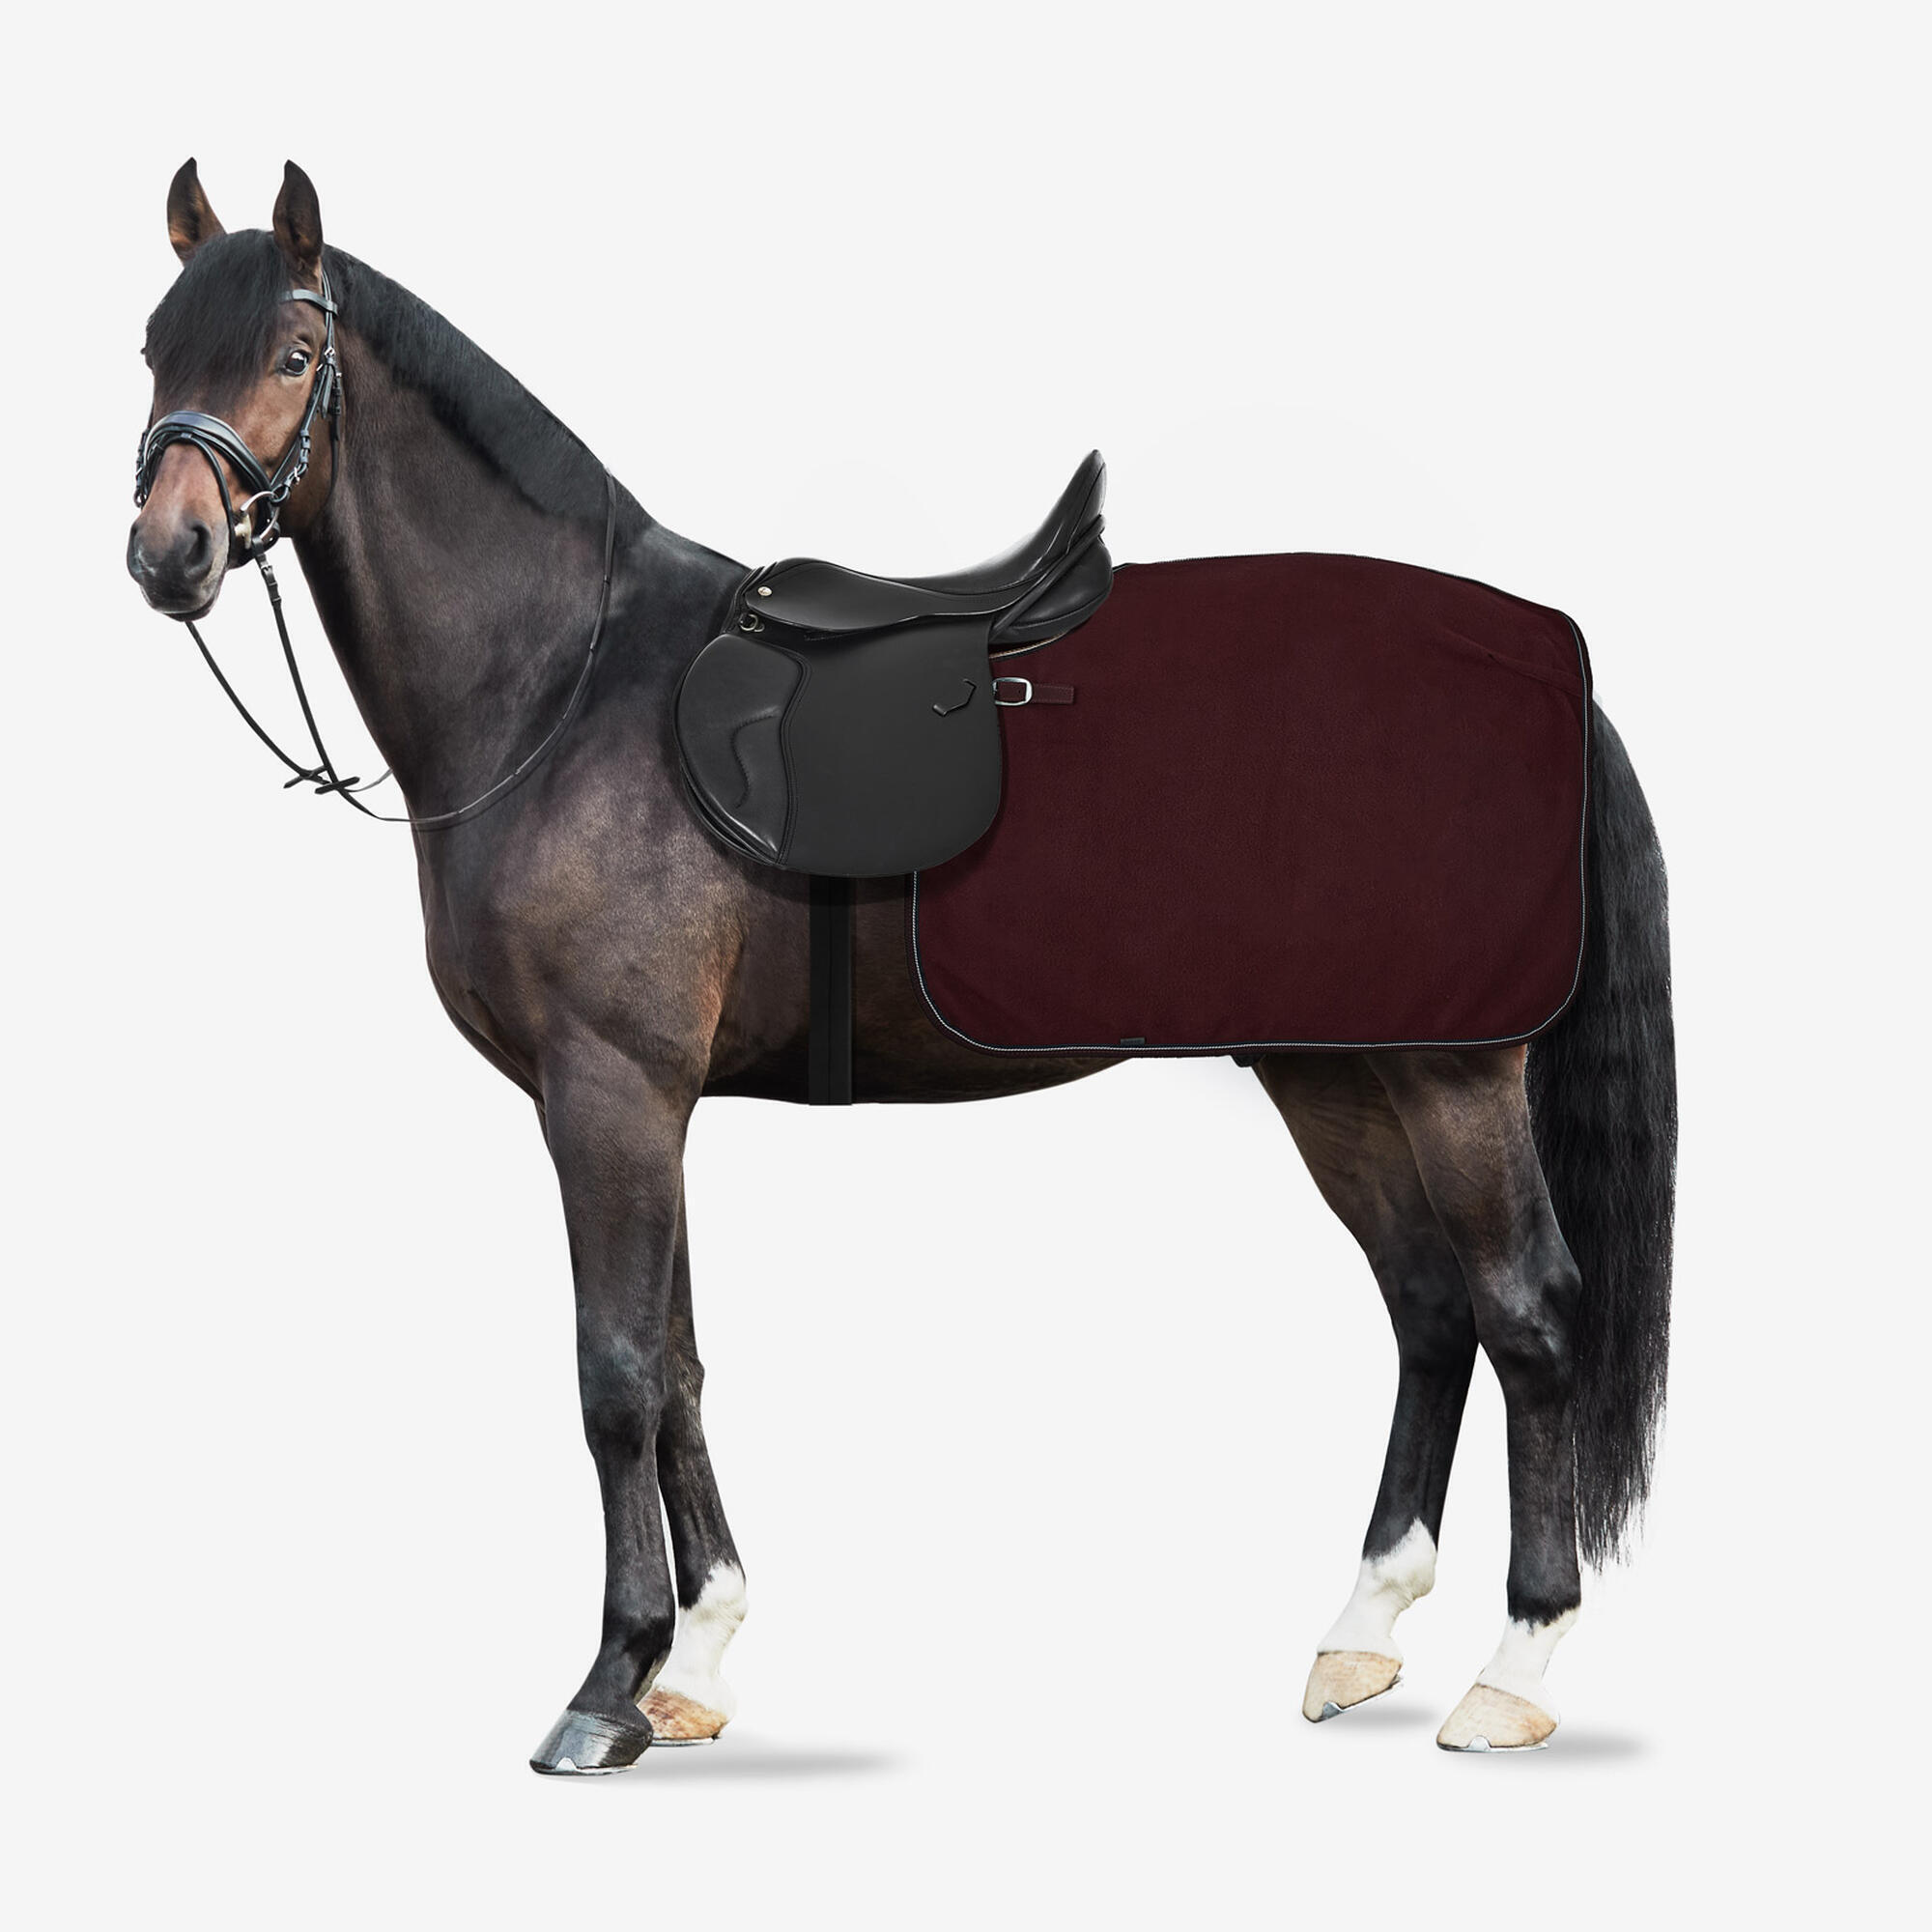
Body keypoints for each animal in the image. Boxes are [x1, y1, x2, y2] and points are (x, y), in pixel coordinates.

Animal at [126, 159, 1675, 1773]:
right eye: (152, 352)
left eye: (290, 355)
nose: (169, 553)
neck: (566, 682)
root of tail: (1541, 660)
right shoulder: (644, 1105)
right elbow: (680, 1363)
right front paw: (699, 1659)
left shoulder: (608, 1093)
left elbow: (615, 1375)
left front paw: (609, 1683)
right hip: (1336, 1072)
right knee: (1430, 1309)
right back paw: (1362, 1632)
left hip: (1452, 1074)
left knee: (1530, 1314)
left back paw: (1518, 1666)